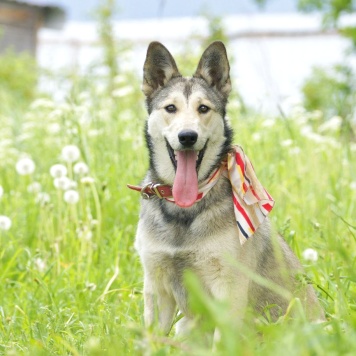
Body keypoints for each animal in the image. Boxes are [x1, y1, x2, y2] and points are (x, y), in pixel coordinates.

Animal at [129, 40, 326, 336]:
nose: (188, 137)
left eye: (203, 109)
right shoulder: (157, 287)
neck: (185, 210)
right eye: (171, 108)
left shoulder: (227, 290)